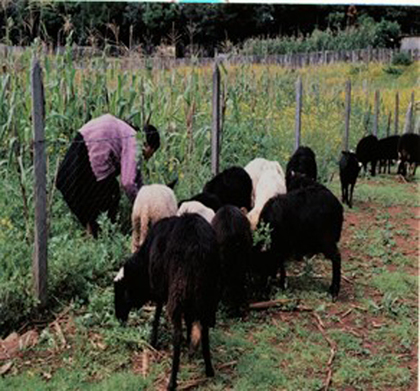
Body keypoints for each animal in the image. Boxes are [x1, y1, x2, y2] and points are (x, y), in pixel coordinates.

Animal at [114, 214, 220, 391]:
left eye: (121, 292)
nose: (118, 318)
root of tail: (199, 247)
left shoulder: (160, 286)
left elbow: (157, 312)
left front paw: (153, 340)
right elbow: (189, 319)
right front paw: (189, 343)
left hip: (178, 288)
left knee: (176, 334)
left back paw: (172, 381)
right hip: (207, 293)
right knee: (205, 330)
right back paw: (209, 370)